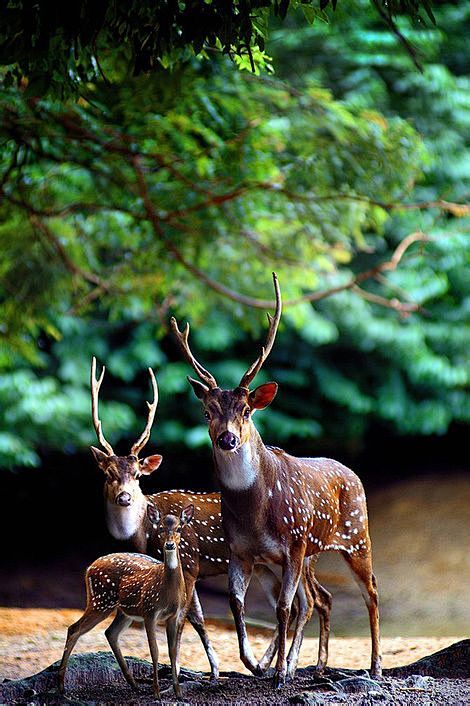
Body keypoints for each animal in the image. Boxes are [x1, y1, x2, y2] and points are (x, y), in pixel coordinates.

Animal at [58, 504, 195, 696]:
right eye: (160, 528)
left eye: (179, 528)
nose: (169, 545)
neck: (168, 593)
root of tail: (89, 568)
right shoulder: (149, 611)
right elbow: (154, 650)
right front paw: (157, 692)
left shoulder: (174, 615)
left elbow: (173, 651)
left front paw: (178, 693)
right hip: (101, 600)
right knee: (74, 628)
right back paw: (61, 686)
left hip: (123, 611)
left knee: (110, 632)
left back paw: (134, 684)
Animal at [88, 358, 330, 676]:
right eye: (108, 474)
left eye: (138, 475)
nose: (124, 498)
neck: (145, 532)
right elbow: (196, 618)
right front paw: (208, 668)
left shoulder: (189, 560)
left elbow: (188, 617)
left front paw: (194, 668)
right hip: (271, 564)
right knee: (312, 599)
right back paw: (279, 664)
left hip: (302, 556)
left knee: (310, 601)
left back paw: (285, 665)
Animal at [171, 270, 380, 688]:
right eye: (206, 411)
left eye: (247, 410)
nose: (228, 438)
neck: (255, 511)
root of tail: (353, 473)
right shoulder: (241, 550)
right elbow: (237, 603)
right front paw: (254, 664)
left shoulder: (293, 543)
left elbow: (283, 608)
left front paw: (279, 672)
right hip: (314, 552)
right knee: (320, 598)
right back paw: (315, 665)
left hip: (355, 535)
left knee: (369, 592)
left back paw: (375, 665)